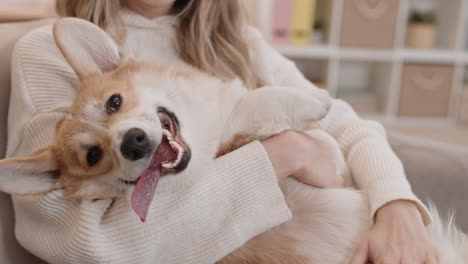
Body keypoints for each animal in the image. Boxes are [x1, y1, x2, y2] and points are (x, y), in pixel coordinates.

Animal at [0, 17, 468, 262]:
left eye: (114, 102)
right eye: (94, 156)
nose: (132, 142)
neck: (203, 126)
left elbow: (323, 144)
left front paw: (325, 135)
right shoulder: (232, 140)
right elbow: (258, 106)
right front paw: (312, 101)